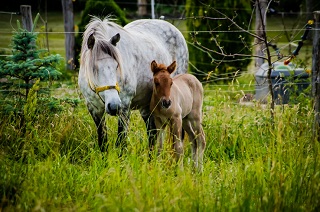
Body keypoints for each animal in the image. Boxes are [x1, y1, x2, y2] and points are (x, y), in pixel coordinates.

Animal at [78, 17, 188, 152]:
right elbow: (103, 142)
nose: (114, 106)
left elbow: (121, 142)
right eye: (94, 68)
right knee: (152, 133)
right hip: (146, 107)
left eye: (117, 66)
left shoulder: (124, 108)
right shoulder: (94, 109)